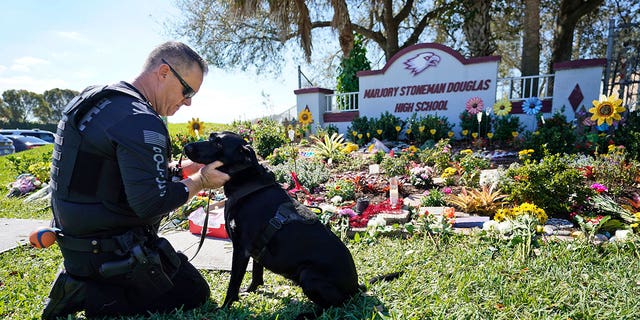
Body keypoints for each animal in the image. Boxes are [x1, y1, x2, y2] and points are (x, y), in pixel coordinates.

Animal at [185, 132, 364, 316]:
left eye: (219, 144)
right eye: (211, 137)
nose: (186, 148)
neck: (247, 183)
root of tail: (356, 288)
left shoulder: (242, 249)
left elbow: (233, 283)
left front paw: (224, 307)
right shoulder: (255, 248)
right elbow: (257, 273)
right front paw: (250, 290)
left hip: (308, 274)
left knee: (334, 305)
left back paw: (306, 314)